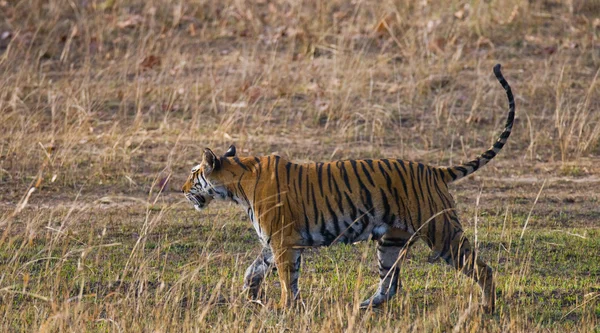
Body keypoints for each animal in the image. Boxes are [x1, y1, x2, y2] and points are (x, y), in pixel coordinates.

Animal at [183, 63, 516, 312]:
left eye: (193, 173)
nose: (182, 188)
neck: (237, 184)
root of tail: (434, 170)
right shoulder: (274, 241)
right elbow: (255, 268)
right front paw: (251, 294)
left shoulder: (283, 240)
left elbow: (287, 278)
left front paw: (284, 307)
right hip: (391, 241)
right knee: (390, 284)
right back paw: (365, 305)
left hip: (441, 232)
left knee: (482, 269)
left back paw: (487, 308)